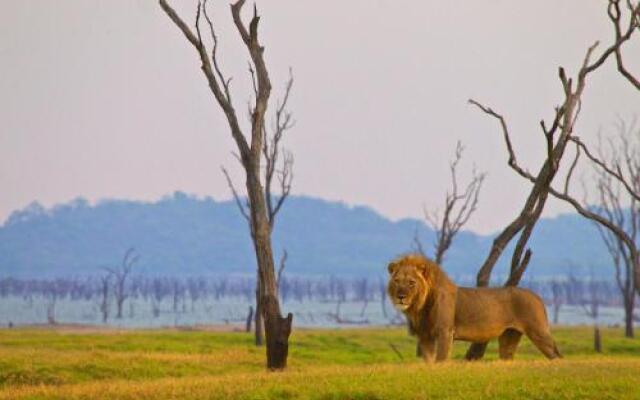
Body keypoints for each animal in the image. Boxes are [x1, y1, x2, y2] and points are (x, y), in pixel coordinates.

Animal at [384, 255, 560, 364]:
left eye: (411, 282)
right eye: (397, 281)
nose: (400, 296)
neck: (419, 306)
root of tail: (537, 296)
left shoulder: (445, 331)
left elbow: (441, 359)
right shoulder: (425, 335)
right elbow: (429, 361)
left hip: (538, 332)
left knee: (557, 356)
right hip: (509, 337)